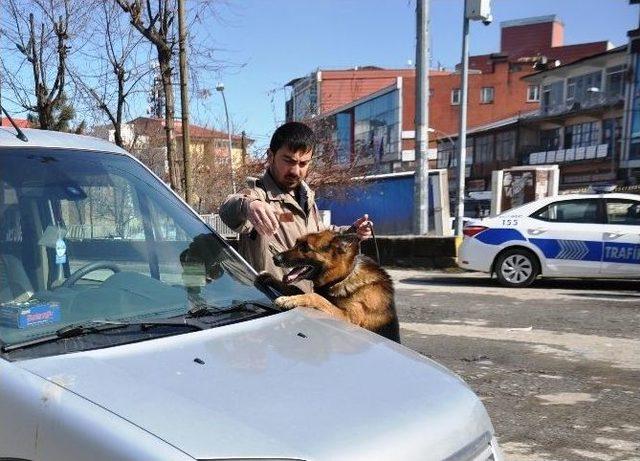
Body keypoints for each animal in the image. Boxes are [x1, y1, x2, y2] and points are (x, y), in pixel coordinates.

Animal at [256, 229, 400, 342]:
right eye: (296, 243)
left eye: (305, 248)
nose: (275, 258)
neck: (343, 276)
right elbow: (294, 288)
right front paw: (270, 279)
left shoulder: (348, 318)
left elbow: (315, 296)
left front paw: (288, 300)